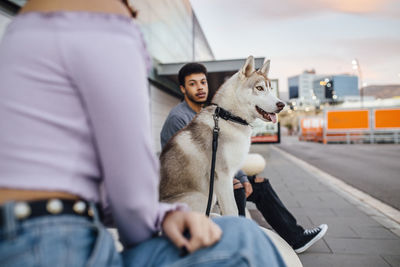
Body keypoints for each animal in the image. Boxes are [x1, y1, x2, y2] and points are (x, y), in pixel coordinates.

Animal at [159, 56, 284, 216]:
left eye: (270, 89)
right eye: (259, 88)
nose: (282, 104)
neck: (229, 117)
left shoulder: (227, 179)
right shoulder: (223, 176)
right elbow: (233, 210)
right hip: (201, 197)